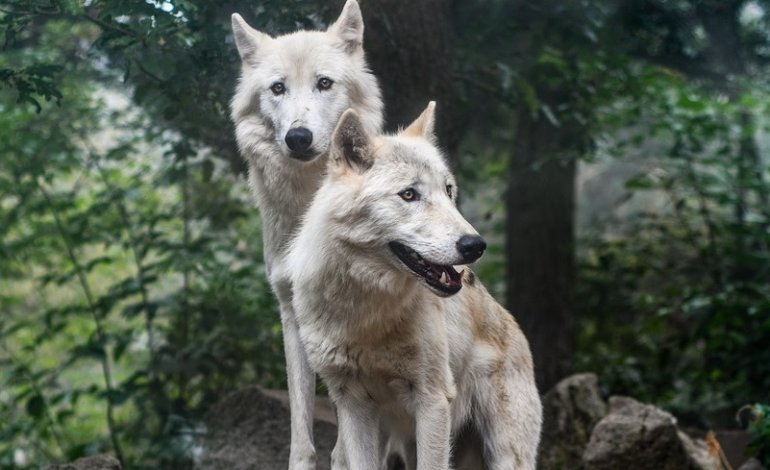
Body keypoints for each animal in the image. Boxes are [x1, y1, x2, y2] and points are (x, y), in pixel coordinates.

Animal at [230, 1, 382, 468]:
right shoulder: (291, 312)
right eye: (278, 88)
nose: (298, 137)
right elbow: (301, 421)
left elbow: (347, 434)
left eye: (324, 83)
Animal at [286, 103, 540, 470]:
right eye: (409, 194)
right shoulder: (352, 404)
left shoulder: (432, 399)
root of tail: (510, 321)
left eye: (448, 190)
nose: (475, 245)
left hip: (505, 454)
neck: (366, 315)